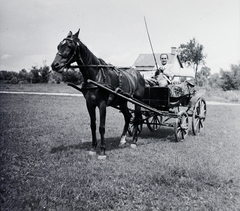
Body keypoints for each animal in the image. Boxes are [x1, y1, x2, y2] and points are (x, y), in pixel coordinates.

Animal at [51, 29, 145, 158]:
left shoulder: (102, 104)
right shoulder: (89, 104)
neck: (95, 76)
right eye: (58, 46)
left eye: (69, 46)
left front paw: (102, 150)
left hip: (137, 101)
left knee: (136, 119)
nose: (55, 65)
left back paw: (134, 141)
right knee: (128, 117)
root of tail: (139, 74)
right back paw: (122, 140)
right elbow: (93, 126)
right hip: (122, 101)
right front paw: (93, 148)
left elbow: (101, 127)